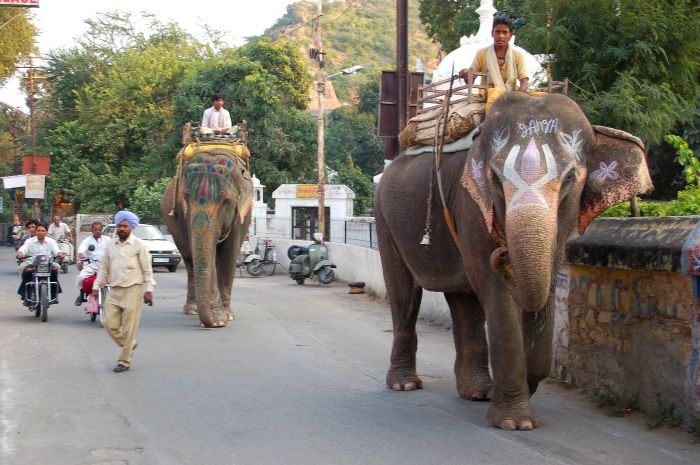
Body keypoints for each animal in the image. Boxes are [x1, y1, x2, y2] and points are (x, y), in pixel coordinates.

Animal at [162, 145, 254, 326]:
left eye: (226, 200)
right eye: (185, 196)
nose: (209, 322)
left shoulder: (241, 215)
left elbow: (229, 254)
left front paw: (226, 317)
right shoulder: (185, 216)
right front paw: (218, 320)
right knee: (189, 261)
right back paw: (192, 309)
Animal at [374, 92, 652, 430]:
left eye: (571, 178)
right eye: (494, 178)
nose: (503, 253)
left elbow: (543, 288)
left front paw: (521, 392)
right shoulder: (471, 206)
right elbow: (496, 293)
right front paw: (515, 423)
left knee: (463, 301)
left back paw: (477, 392)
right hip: (384, 217)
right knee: (404, 294)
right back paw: (405, 384)